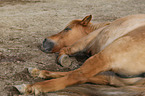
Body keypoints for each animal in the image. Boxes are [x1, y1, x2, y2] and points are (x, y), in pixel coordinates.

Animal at [15, 14, 145, 94]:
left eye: (68, 29)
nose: (45, 40)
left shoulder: (85, 41)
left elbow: (65, 50)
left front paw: (63, 59)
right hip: (122, 78)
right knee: (90, 77)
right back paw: (37, 72)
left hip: (104, 57)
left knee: (78, 75)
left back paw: (31, 87)